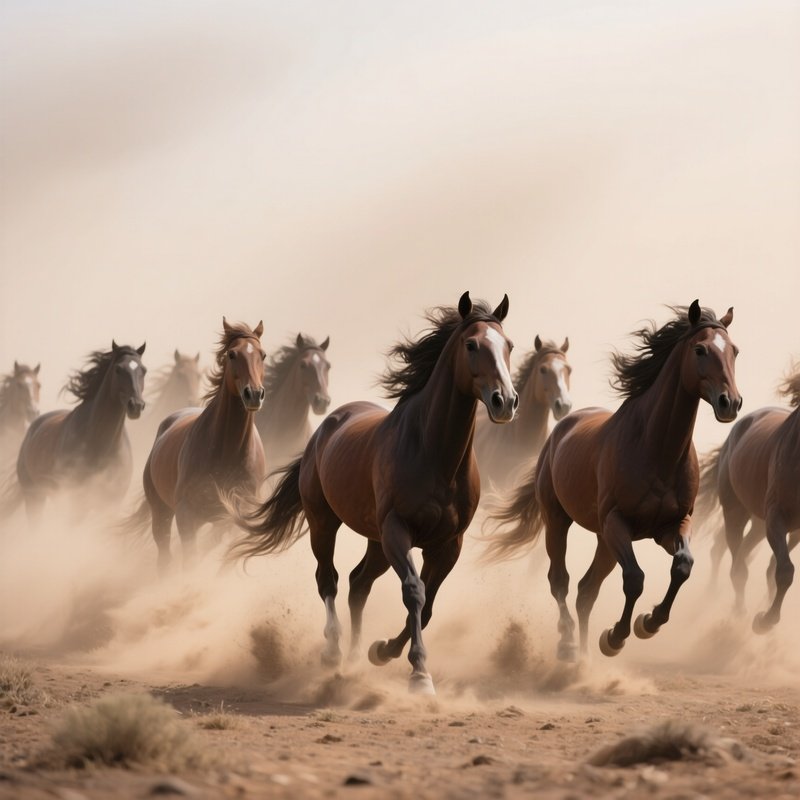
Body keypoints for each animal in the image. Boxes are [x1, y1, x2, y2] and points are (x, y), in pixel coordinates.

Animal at [12, 342, 146, 521]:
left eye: (143, 370)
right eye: (118, 369)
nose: (136, 405)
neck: (100, 444)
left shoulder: (111, 506)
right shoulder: (75, 505)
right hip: (34, 497)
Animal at [126, 320, 266, 574]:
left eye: (263, 355)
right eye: (232, 354)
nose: (254, 394)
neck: (228, 451)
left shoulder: (233, 517)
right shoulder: (186, 514)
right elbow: (190, 557)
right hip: (161, 512)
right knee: (164, 554)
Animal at [484, 301, 741, 660]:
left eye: (734, 350)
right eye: (700, 349)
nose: (730, 403)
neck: (656, 449)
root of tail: (560, 431)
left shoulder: (672, 524)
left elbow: (683, 566)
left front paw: (648, 622)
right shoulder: (617, 523)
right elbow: (634, 578)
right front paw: (616, 636)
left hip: (603, 541)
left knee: (586, 590)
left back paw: (583, 656)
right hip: (559, 521)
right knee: (560, 581)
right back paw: (568, 645)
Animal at [696, 363, 800, 631]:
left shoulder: (794, 530)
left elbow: (775, 569)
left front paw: (764, 613)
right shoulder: (776, 517)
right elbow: (784, 571)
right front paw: (764, 621)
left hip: (759, 523)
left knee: (742, 556)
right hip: (736, 511)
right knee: (735, 563)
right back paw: (736, 612)